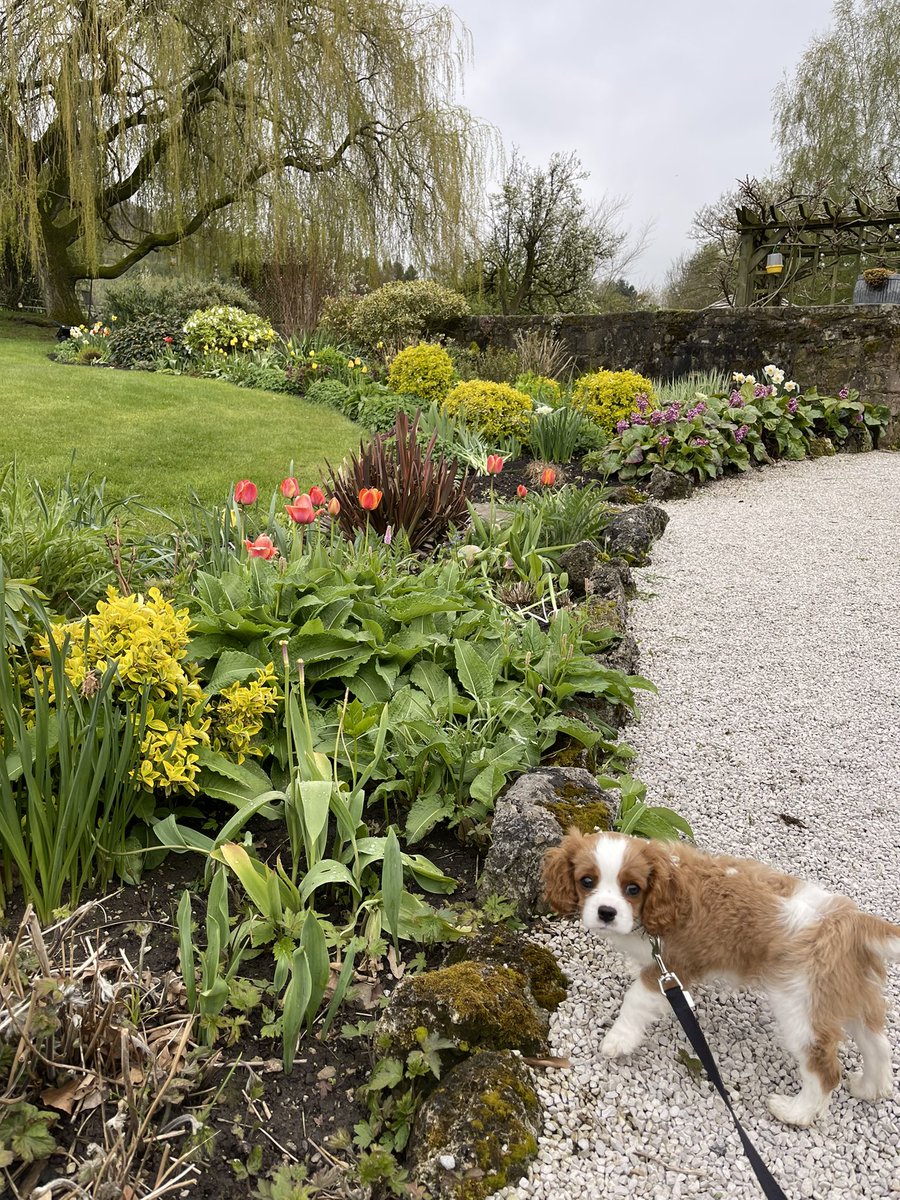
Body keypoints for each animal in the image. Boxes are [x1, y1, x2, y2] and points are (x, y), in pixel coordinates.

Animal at [542, 830, 900, 1128]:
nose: (606, 912)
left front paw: (619, 1039)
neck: (665, 894)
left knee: (825, 1070)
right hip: (844, 995)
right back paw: (870, 1088)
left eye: (633, 889)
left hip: (801, 1009)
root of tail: (853, 921)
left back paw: (795, 1113)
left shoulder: (673, 967)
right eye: (587, 881)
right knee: (877, 1043)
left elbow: (635, 1000)